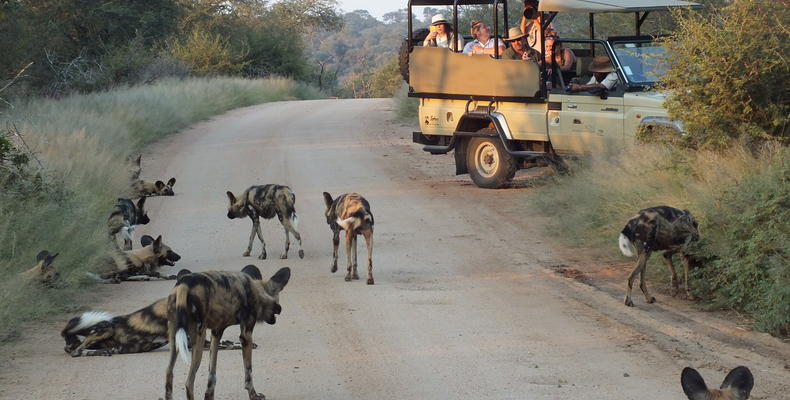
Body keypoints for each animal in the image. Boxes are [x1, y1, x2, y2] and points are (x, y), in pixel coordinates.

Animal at [166, 264, 292, 398]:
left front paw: (209, 396)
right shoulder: (246, 336)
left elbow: (212, 375)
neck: (257, 291)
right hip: (198, 339)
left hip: (175, 341)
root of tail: (184, 283)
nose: (277, 315)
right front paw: (254, 395)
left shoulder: (216, 334)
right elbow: (249, 372)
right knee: (189, 382)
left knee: (169, 373)